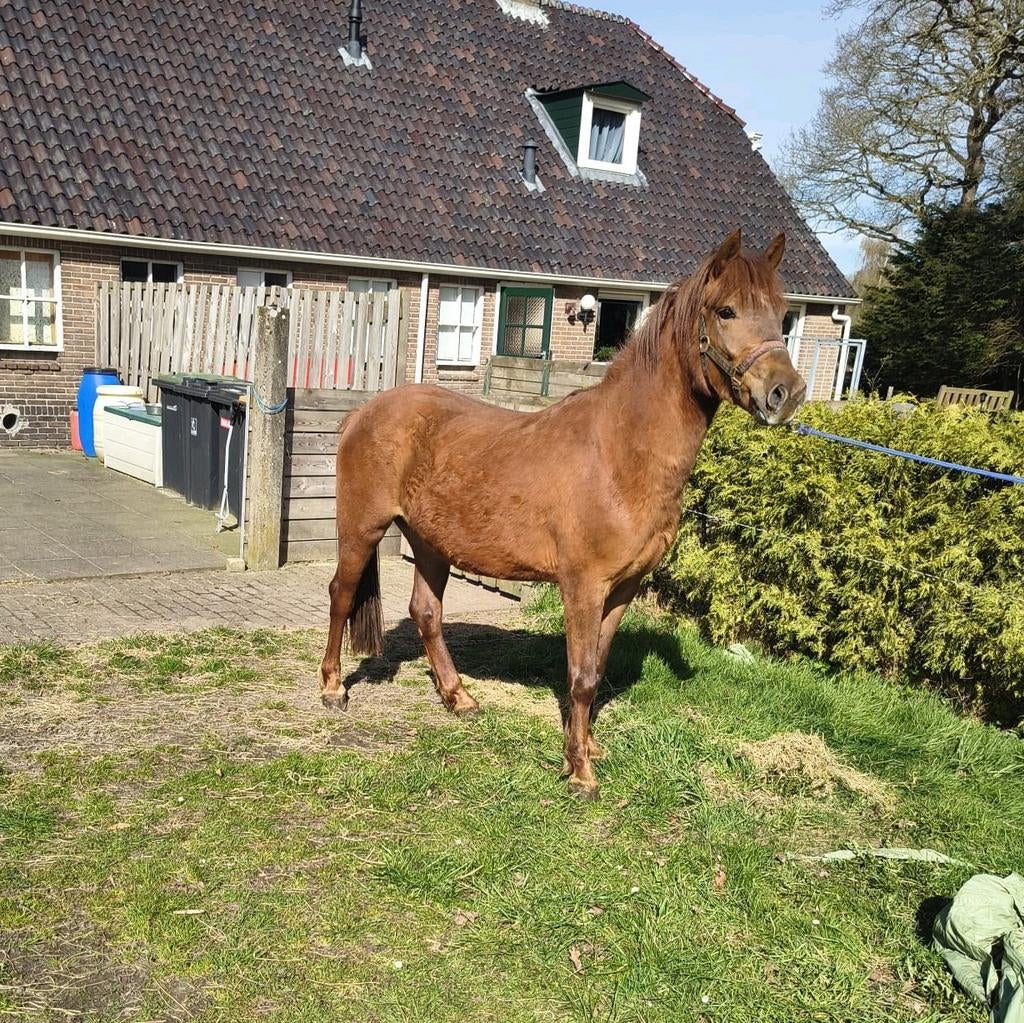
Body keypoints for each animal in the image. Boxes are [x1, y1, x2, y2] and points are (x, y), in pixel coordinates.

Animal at [320, 228, 806, 799]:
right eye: (726, 310)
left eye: (782, 314)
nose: (786, 393)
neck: (620, 452)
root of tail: (363, 412)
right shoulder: (583, 586)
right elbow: (580, 677)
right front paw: (579, 773)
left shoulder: (622, 590)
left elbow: (596, 670)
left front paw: (589, 749)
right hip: (362, 528)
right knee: (341, 594)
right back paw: (332, 689)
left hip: (431, 543)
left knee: (427, 612)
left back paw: (460, 699)